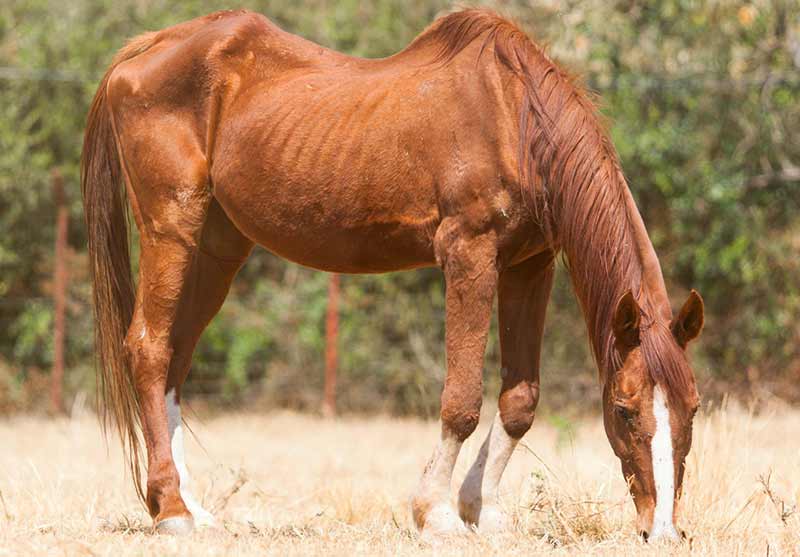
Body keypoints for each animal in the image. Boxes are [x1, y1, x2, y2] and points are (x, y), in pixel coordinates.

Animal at [81, 7, 704, 540]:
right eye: (623, 410)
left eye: (694, 407)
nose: (663, 530)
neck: (516, 120)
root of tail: (145, 50)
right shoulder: (469, 255)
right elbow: (462, 400)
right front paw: (436, 514)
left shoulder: (531, 265)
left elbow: (520, 400)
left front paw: (482, 509)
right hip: (171, 230)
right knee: (149, 348)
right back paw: (171, 511)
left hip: (216, 250)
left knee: (176, 358)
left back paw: (194, 508)